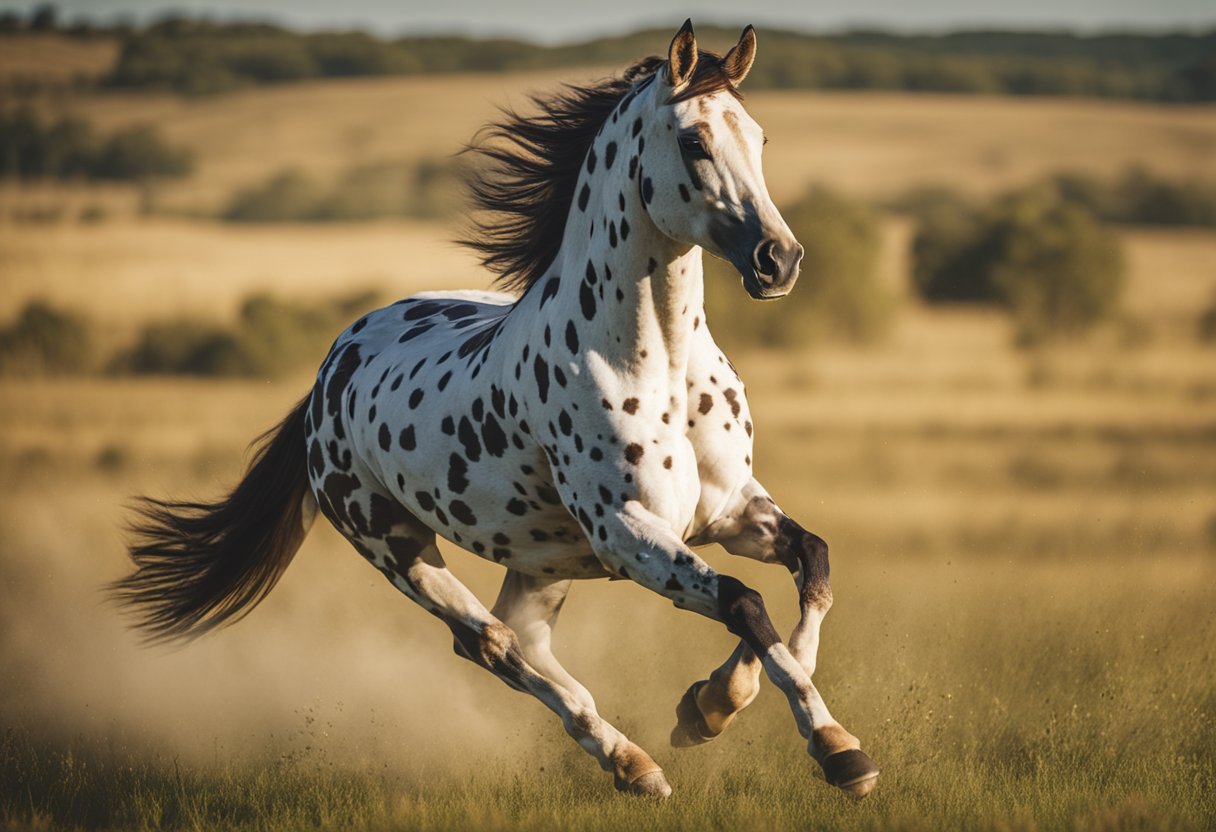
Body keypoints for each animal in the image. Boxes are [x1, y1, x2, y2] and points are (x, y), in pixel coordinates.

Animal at [114, 21, 880, 797]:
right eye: (694, 141)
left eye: (758, 137)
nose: (779, 259)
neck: (654, 362)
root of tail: (333, 369)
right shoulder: (630, 532)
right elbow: (742, 602)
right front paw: (837, 751)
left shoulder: (729, 510)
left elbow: (808, 571)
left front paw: (713, 706)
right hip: (396, 548)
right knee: (491, 643)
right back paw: (631, 763)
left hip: (543, 560)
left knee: (522, 639)